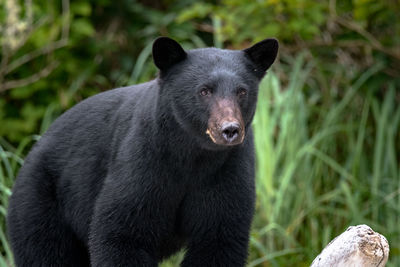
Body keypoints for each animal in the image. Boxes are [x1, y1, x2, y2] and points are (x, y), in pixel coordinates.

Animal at [7, 36, 280, 266]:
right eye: (204, 90)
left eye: (242, 91)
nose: (230, 130)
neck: (193, 155)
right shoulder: (144, 159)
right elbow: (123, 232)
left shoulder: (227, 169)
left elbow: (219, 238)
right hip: (39, 201)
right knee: (46, 252)